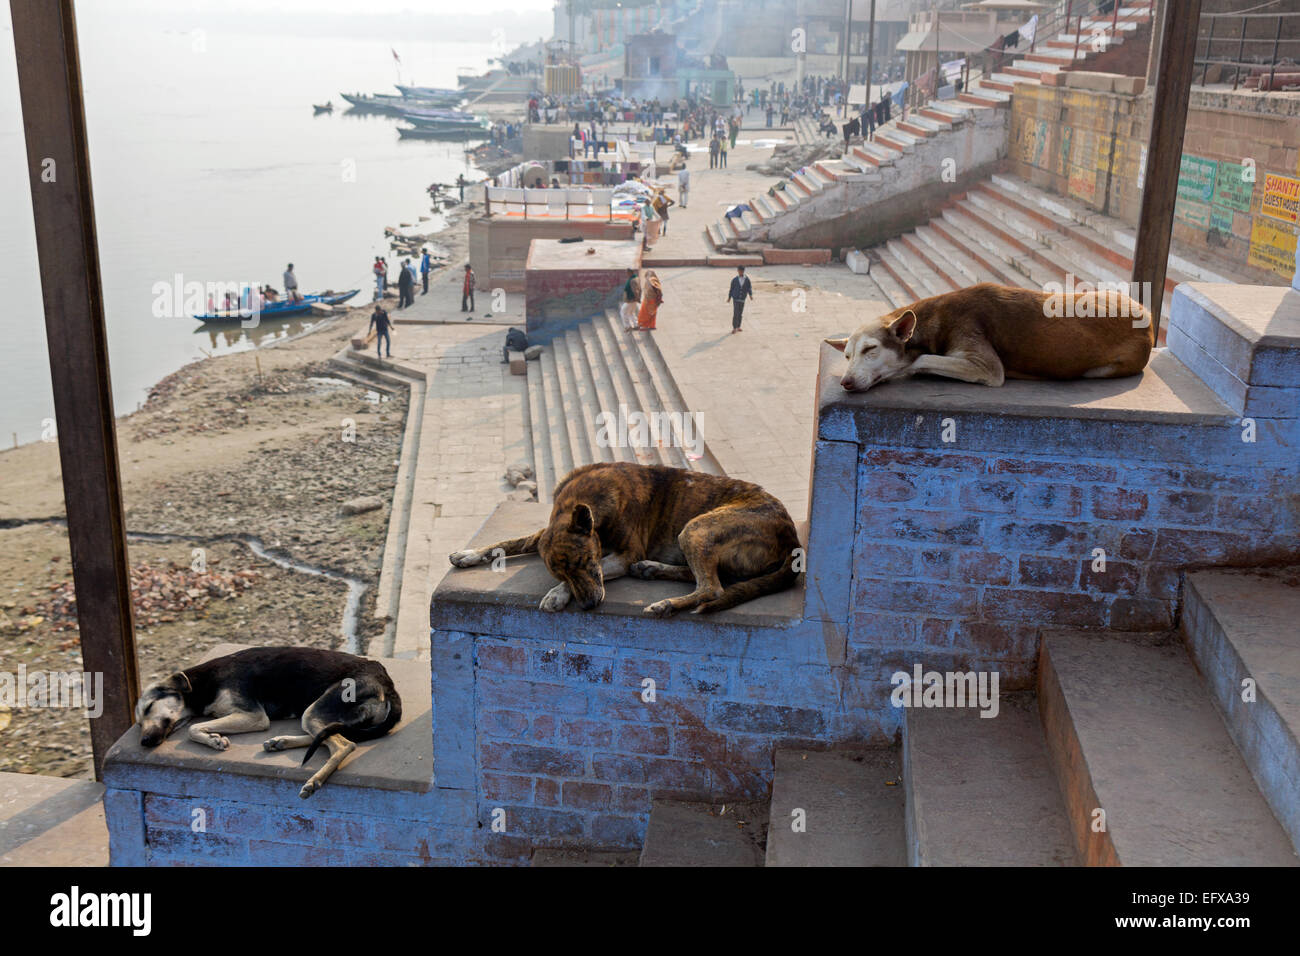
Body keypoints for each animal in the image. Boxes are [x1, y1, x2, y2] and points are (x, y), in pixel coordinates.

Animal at [133, 650, 400, 801]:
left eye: (149, 708)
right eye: (138, 722)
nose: (143, 742)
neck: (203, 683)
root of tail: (388, 685)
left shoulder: (253, 716)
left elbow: (192, 729)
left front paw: (214, 739)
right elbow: (193, 727)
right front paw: (213, 737)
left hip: (322, 705)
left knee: (344, 744)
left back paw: (314, 781)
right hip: (313, 712)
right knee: (330, 732)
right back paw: (280, 742)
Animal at [452, 463, 806, 613]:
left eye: (586, 562)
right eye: (560, 571)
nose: (589, 605)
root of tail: (793, 539)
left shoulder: (624, 554)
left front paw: (556, 595)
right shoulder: (547, 531)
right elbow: (509, 542)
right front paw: (469, 554)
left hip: (697, 527)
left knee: (712, 588)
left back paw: (665, 604)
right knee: (711, 578)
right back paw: (652, 569)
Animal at [826, 282, 1154, 390]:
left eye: (870, 349)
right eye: (847, 355)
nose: (846, 382)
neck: (936, 318)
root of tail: (1148, 318)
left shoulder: (986, 366)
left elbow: (920, 361)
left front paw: (902, 369)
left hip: (1100, 369)